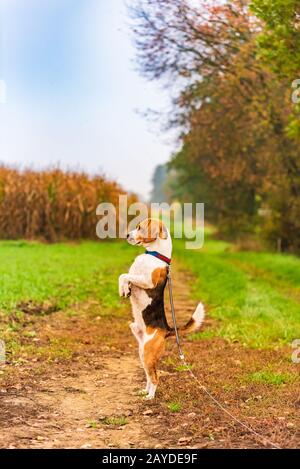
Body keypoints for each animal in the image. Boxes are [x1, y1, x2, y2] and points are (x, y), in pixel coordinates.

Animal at [118, 218, 205, 398]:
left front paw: (124, 288)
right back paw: (144, 391)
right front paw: (124, 289)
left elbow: (124, 275)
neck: (155, 255)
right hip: (142, 353)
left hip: (148, 353)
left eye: (139, 227)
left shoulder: (147, 281)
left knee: (155, 377)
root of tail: (166, 329)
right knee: (149, 375)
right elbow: (124, 277)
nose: (127, 235)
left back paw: (150, 396)